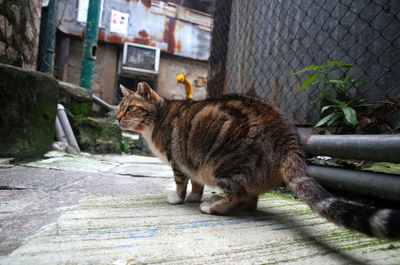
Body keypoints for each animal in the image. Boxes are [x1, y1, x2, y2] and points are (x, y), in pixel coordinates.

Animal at [117, 81, 398, 238]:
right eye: (119, 107)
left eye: (130, 108)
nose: (117, 118)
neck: (157, 119)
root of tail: (289, 136)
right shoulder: (192, 165)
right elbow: (196, 182)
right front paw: (195, 195)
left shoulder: (178, 161)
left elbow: (180, 182)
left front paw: (179, 199)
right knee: (250, 201)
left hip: (223, 166)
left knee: (239, 196)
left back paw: (213, 206)